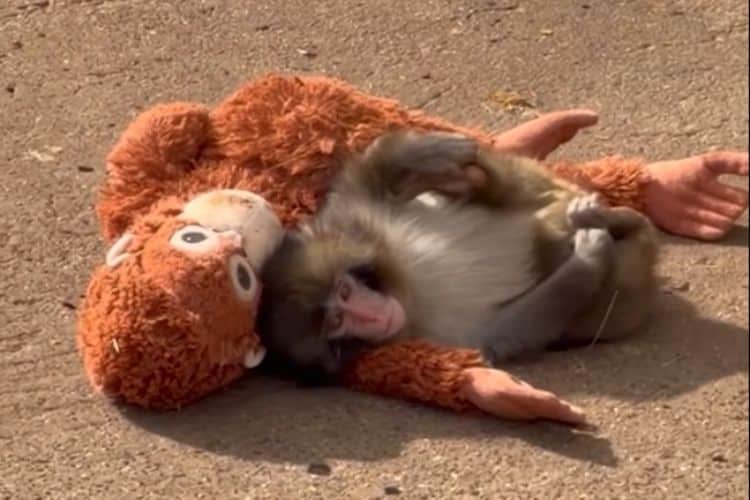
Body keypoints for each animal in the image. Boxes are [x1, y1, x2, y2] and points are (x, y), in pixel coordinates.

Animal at [257, 131, 658, 382]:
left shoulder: (356, 220)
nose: (374, 318)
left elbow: (369, 174)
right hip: (627, 291)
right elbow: (503, 332)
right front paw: (590, 258)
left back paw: (480, 182)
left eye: (344, 293)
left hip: (552, 187)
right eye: (337, 324)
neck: (407, 288)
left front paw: (427, 154)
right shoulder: (442, 341)